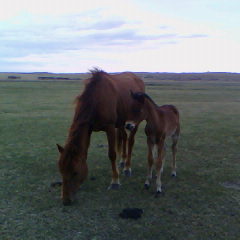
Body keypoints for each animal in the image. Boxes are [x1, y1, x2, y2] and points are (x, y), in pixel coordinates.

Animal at [56, 69, 144, 204]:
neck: (97, 99)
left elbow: (112, 154)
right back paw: (122, 161)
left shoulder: (110, 128)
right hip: (121, 122)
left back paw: (127, 167)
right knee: (124, 138)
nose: (66, 200)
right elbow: (85, 153)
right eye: (61, 171)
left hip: (134, 122)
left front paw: (115, 181)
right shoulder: (89, 129)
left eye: (75, 172)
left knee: (130, 141)